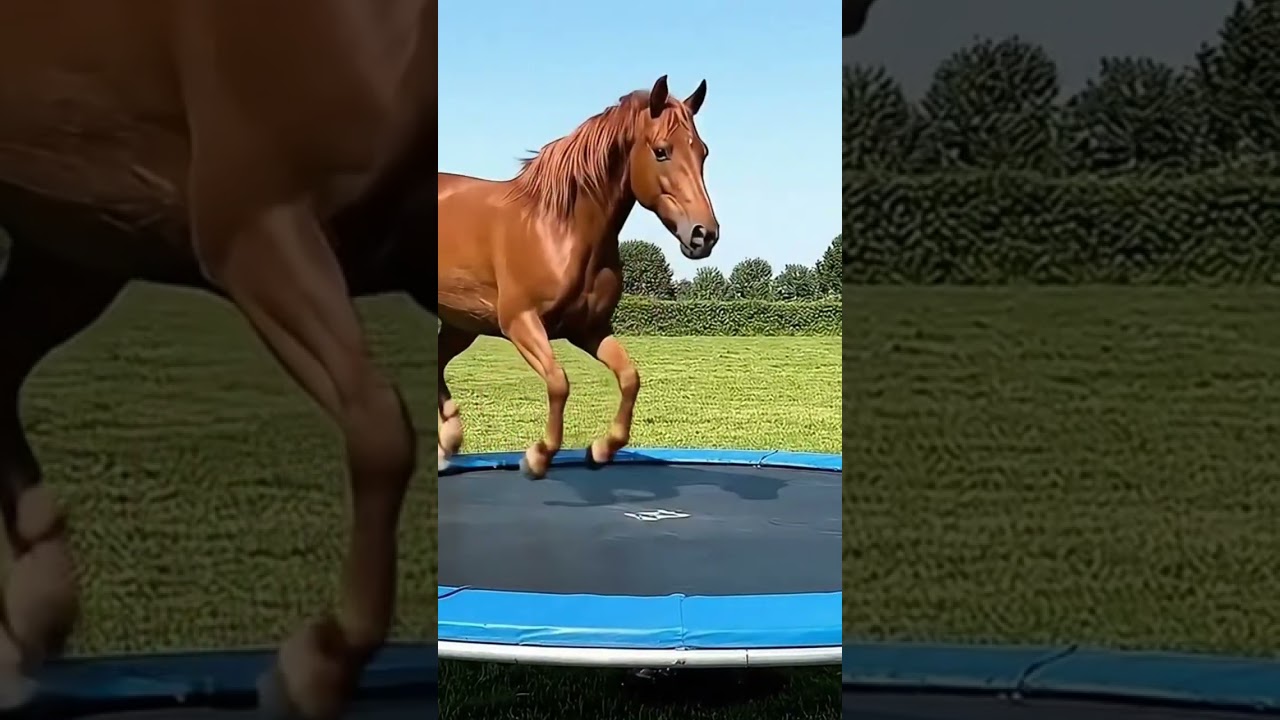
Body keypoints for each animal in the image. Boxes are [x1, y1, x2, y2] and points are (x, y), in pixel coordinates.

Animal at [437, 76, 720, 480]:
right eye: (661, 151)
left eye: (703, 153)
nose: (704, 236)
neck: (560, 228)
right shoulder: (520, 322)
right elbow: (559, 383)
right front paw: (538, 455)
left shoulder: (590, 328)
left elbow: (629, 378)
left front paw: (601, 449)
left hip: (463, 323)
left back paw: (448, 442)